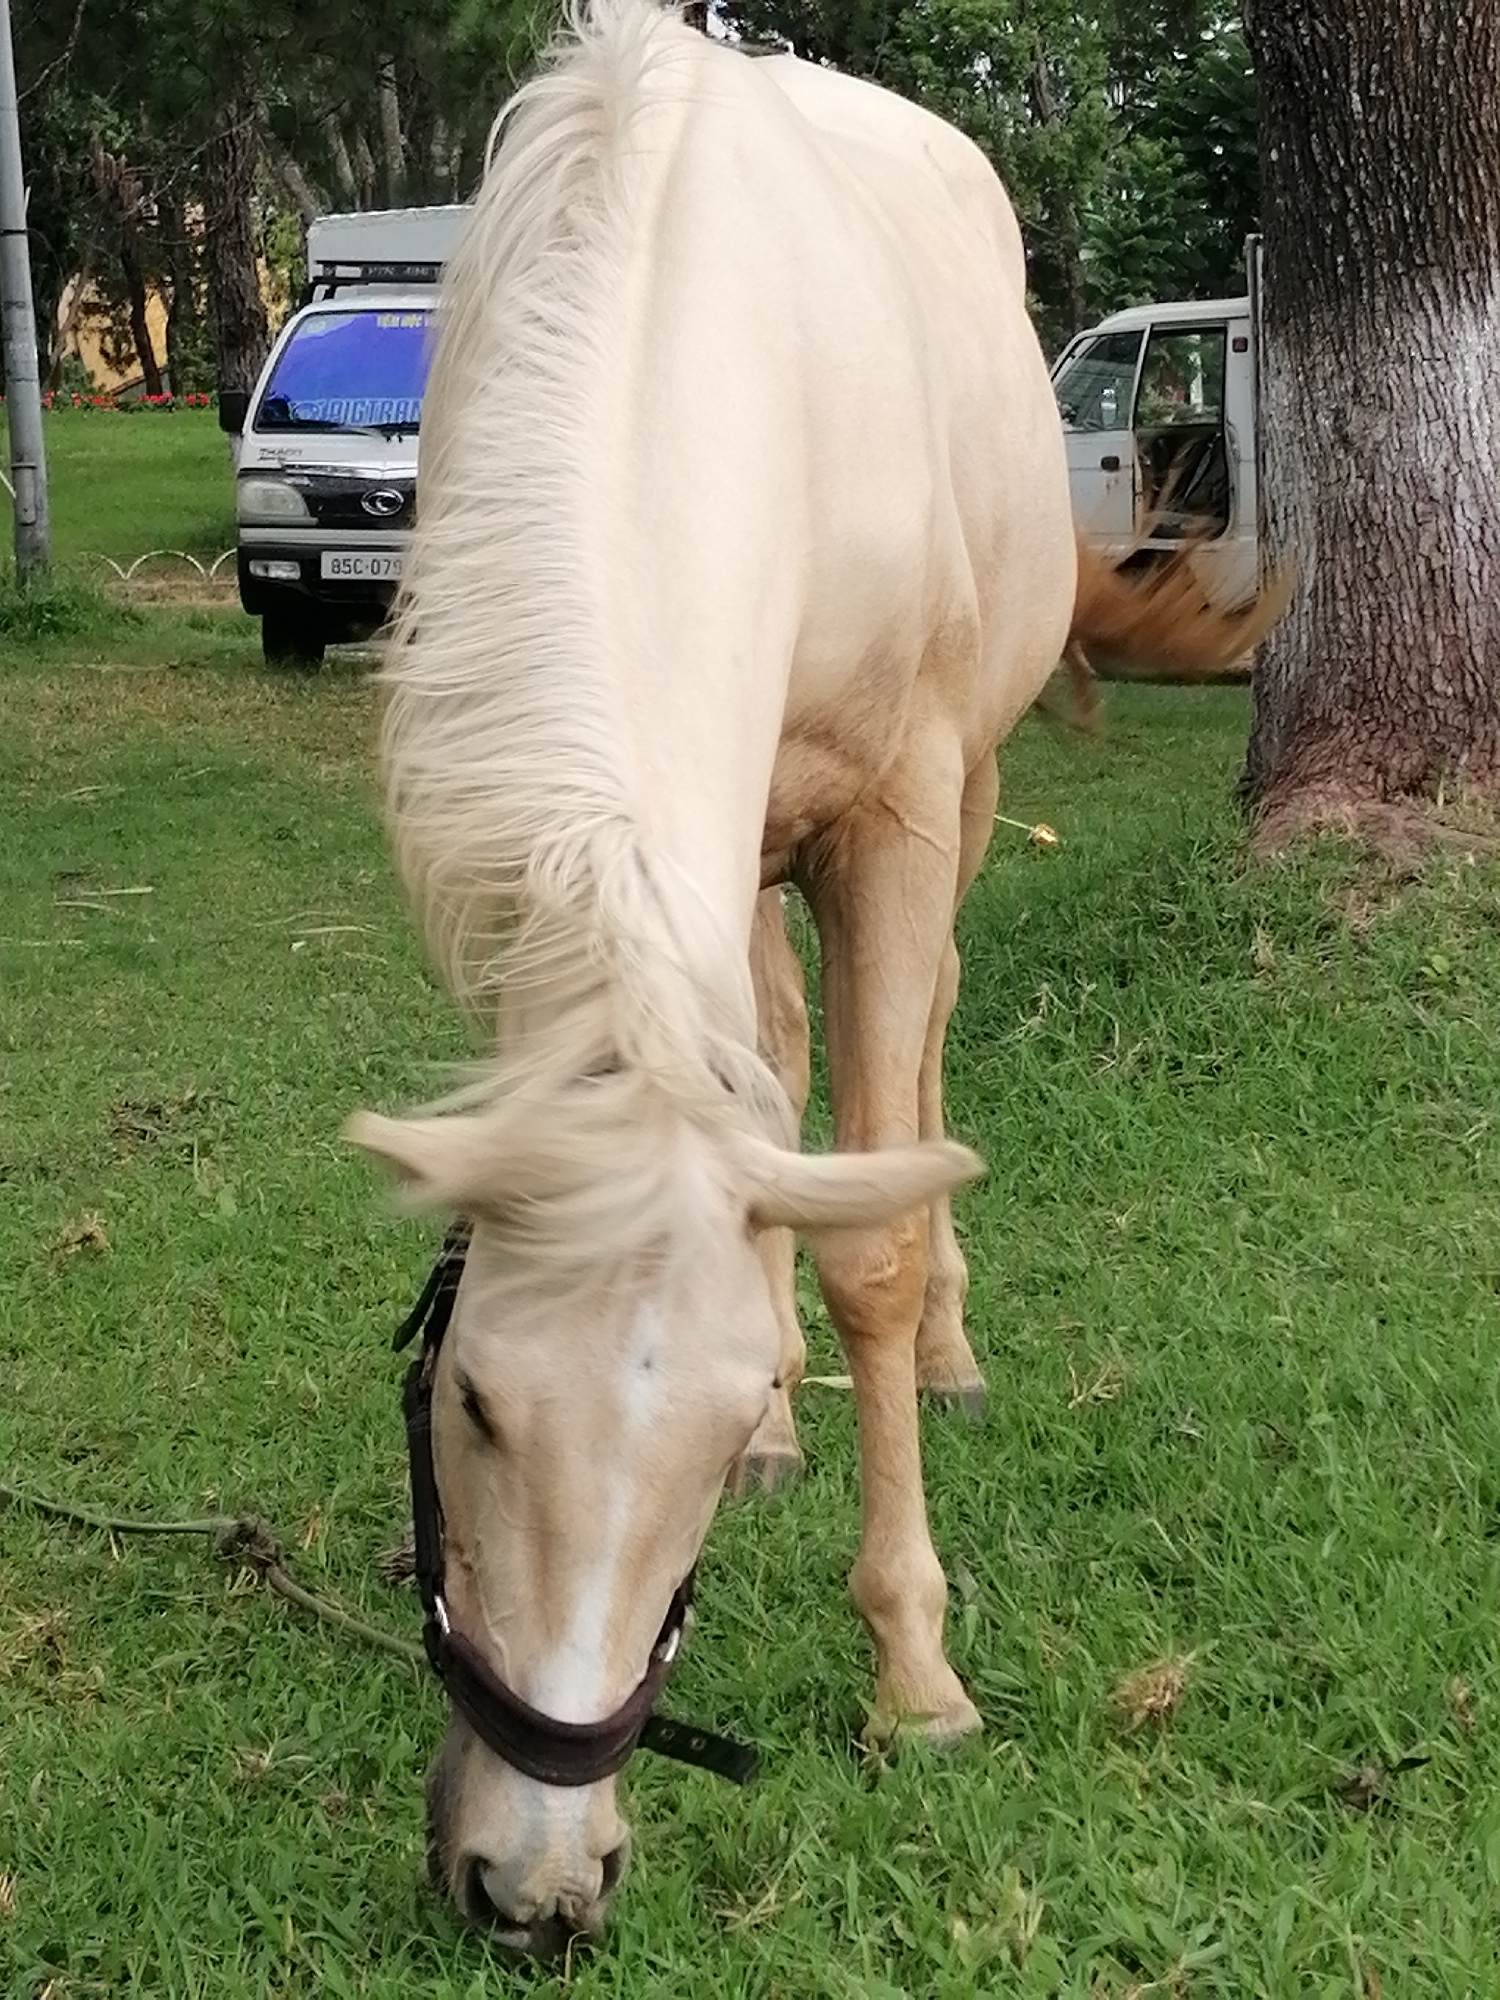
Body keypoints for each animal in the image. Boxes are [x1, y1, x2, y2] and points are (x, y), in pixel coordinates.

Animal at [347, 0, 1272, 1955]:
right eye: (473, 1401)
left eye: (689, 1451)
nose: (536, 1887)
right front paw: (786, 1403)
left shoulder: (902, 813)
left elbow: (876, 1238)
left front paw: (915, 1674)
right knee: (775, 1067)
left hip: (962, 799)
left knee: (912, 1074)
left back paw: (946, 1347)